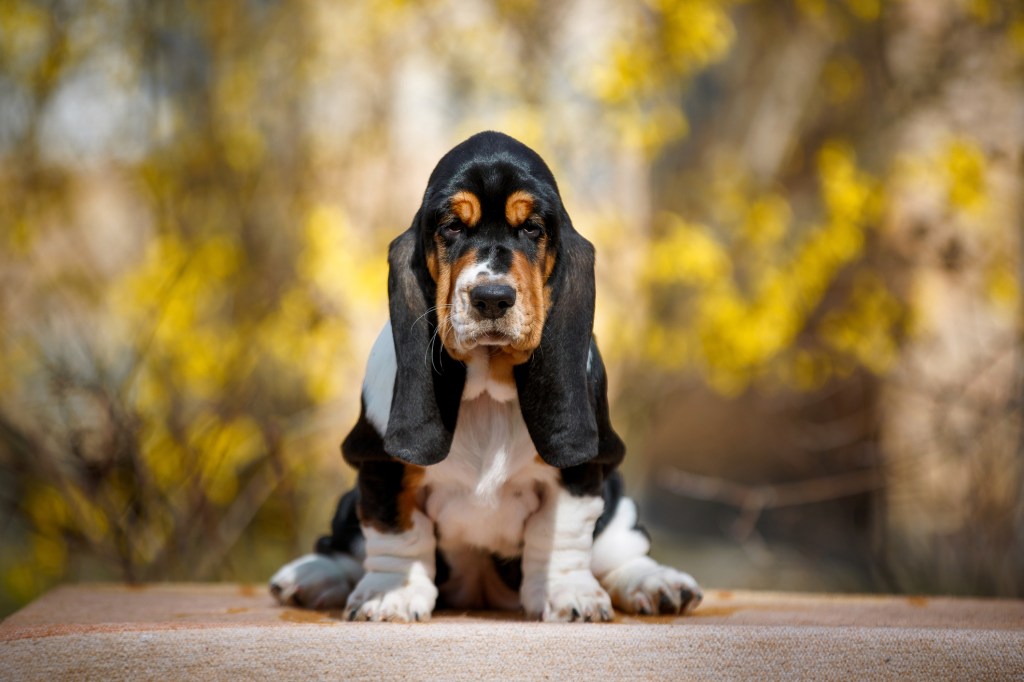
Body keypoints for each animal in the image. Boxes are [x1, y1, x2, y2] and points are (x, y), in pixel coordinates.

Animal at [270, 130, 704, 618]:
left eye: (532, 228)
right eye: (452, 227)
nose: (492, 298)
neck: (487, 391)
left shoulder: (582, 472)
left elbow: (563, 533)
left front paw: (568, 593)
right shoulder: (378, 463)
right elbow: (395, 530)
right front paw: (392, 593)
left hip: (618, 498)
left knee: (621, 546)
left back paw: (658, 582)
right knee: (343, 542)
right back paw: (309, 575)